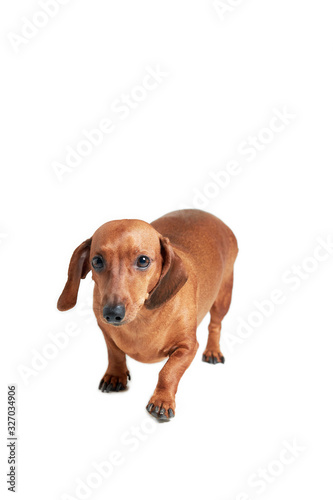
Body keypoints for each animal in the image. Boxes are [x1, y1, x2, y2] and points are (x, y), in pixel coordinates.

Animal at [57, 209, 239, 420]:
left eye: (143, 260)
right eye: (96, 261)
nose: (112, 313)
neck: (141, 319)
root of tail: (209, 214)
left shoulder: (188, 347)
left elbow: (168, 372)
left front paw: (162, 400)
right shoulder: (106, 332)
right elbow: (115, 353)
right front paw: (115, 375)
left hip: (223, 298)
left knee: (215, 325)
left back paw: (213, 351)